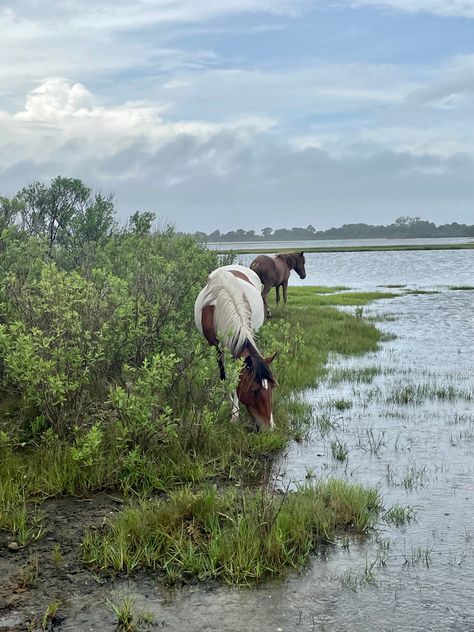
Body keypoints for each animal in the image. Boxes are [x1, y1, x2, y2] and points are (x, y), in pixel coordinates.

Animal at [194, 264, 278, 432]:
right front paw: (234, 412)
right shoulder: (217, 347)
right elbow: (226, 376)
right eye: (254, 390)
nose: (268, 428)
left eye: (272, 386)